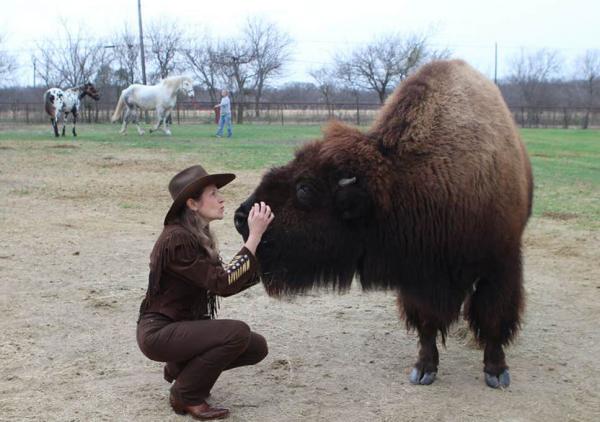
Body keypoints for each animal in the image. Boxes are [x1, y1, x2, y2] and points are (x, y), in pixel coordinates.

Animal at [232, 59, 532, 390]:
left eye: (305, 188)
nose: (240, 217)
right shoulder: (417, 276)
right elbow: (426, 322)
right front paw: (424, 369)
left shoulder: (500, 266)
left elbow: (494, 317)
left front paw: (496, 371)